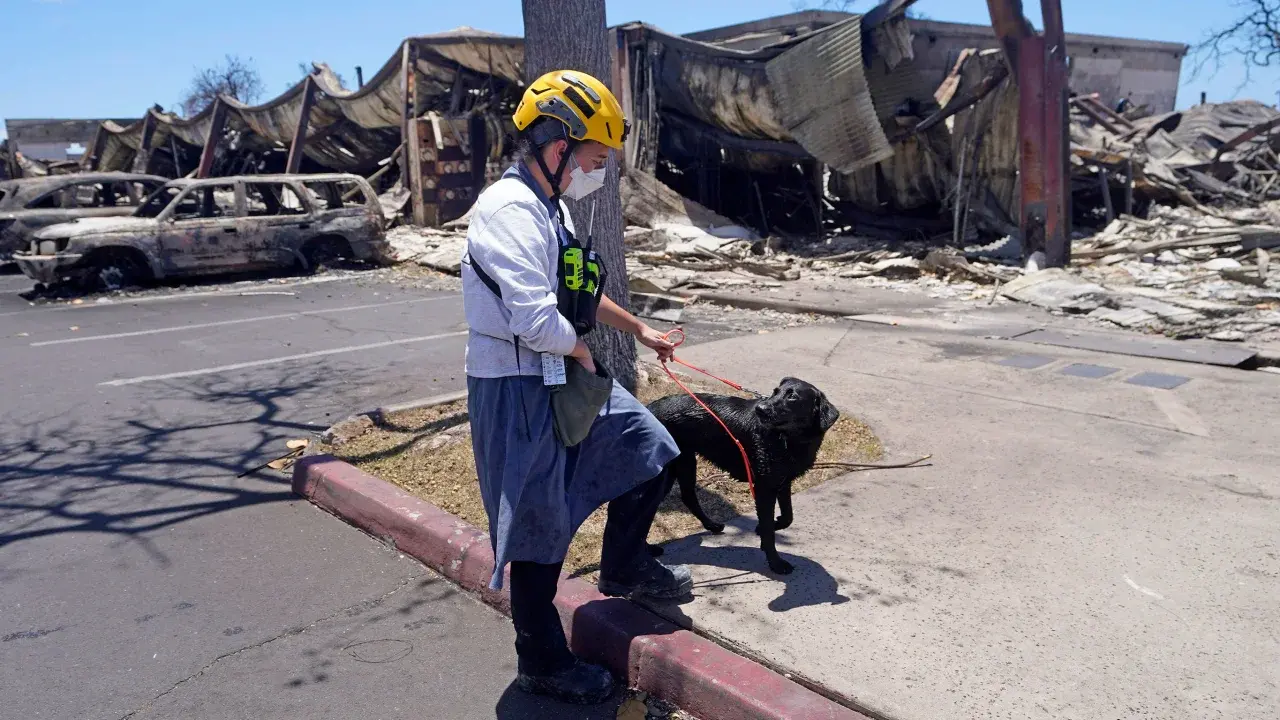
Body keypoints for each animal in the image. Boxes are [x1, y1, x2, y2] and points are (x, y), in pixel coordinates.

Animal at [645, 376, 844, 571]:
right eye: (775, 392)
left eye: (792, 397)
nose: (760, 409)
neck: (789, 439)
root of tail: (648, 407)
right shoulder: (765, 488)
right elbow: (768, 529)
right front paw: (775, 562)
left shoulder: (782, 481)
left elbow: (788, 516)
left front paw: (774, 524)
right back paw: (648, 550)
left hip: (682, 463)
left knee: (686, 496)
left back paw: (711, 525)